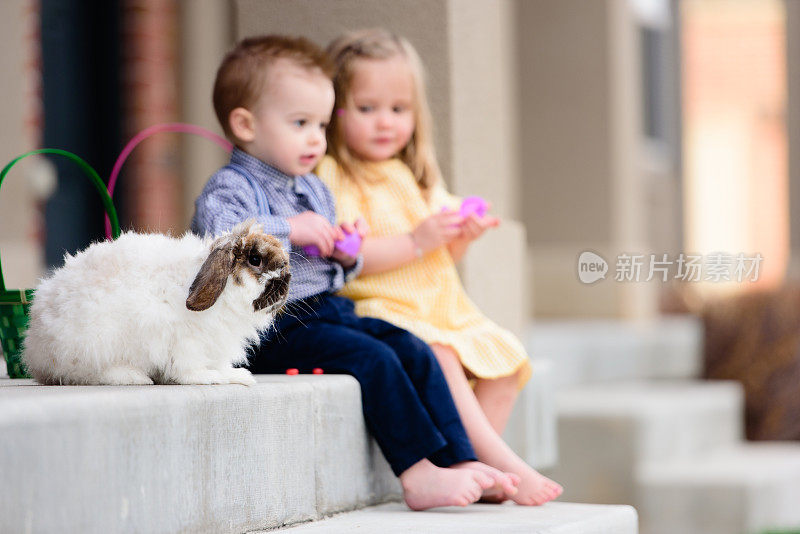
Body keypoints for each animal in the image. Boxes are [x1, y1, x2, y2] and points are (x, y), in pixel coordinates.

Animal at [20, 220, 290, 388]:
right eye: (255, 260)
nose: (286, 279)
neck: (225, 296)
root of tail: (37, 350)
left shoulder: (217, 344)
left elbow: (221, 364)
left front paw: (238, 376)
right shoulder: (186, 341)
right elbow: (189, 368)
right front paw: (209, 377)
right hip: (94, 344)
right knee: (87, 374)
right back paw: (132, 377)